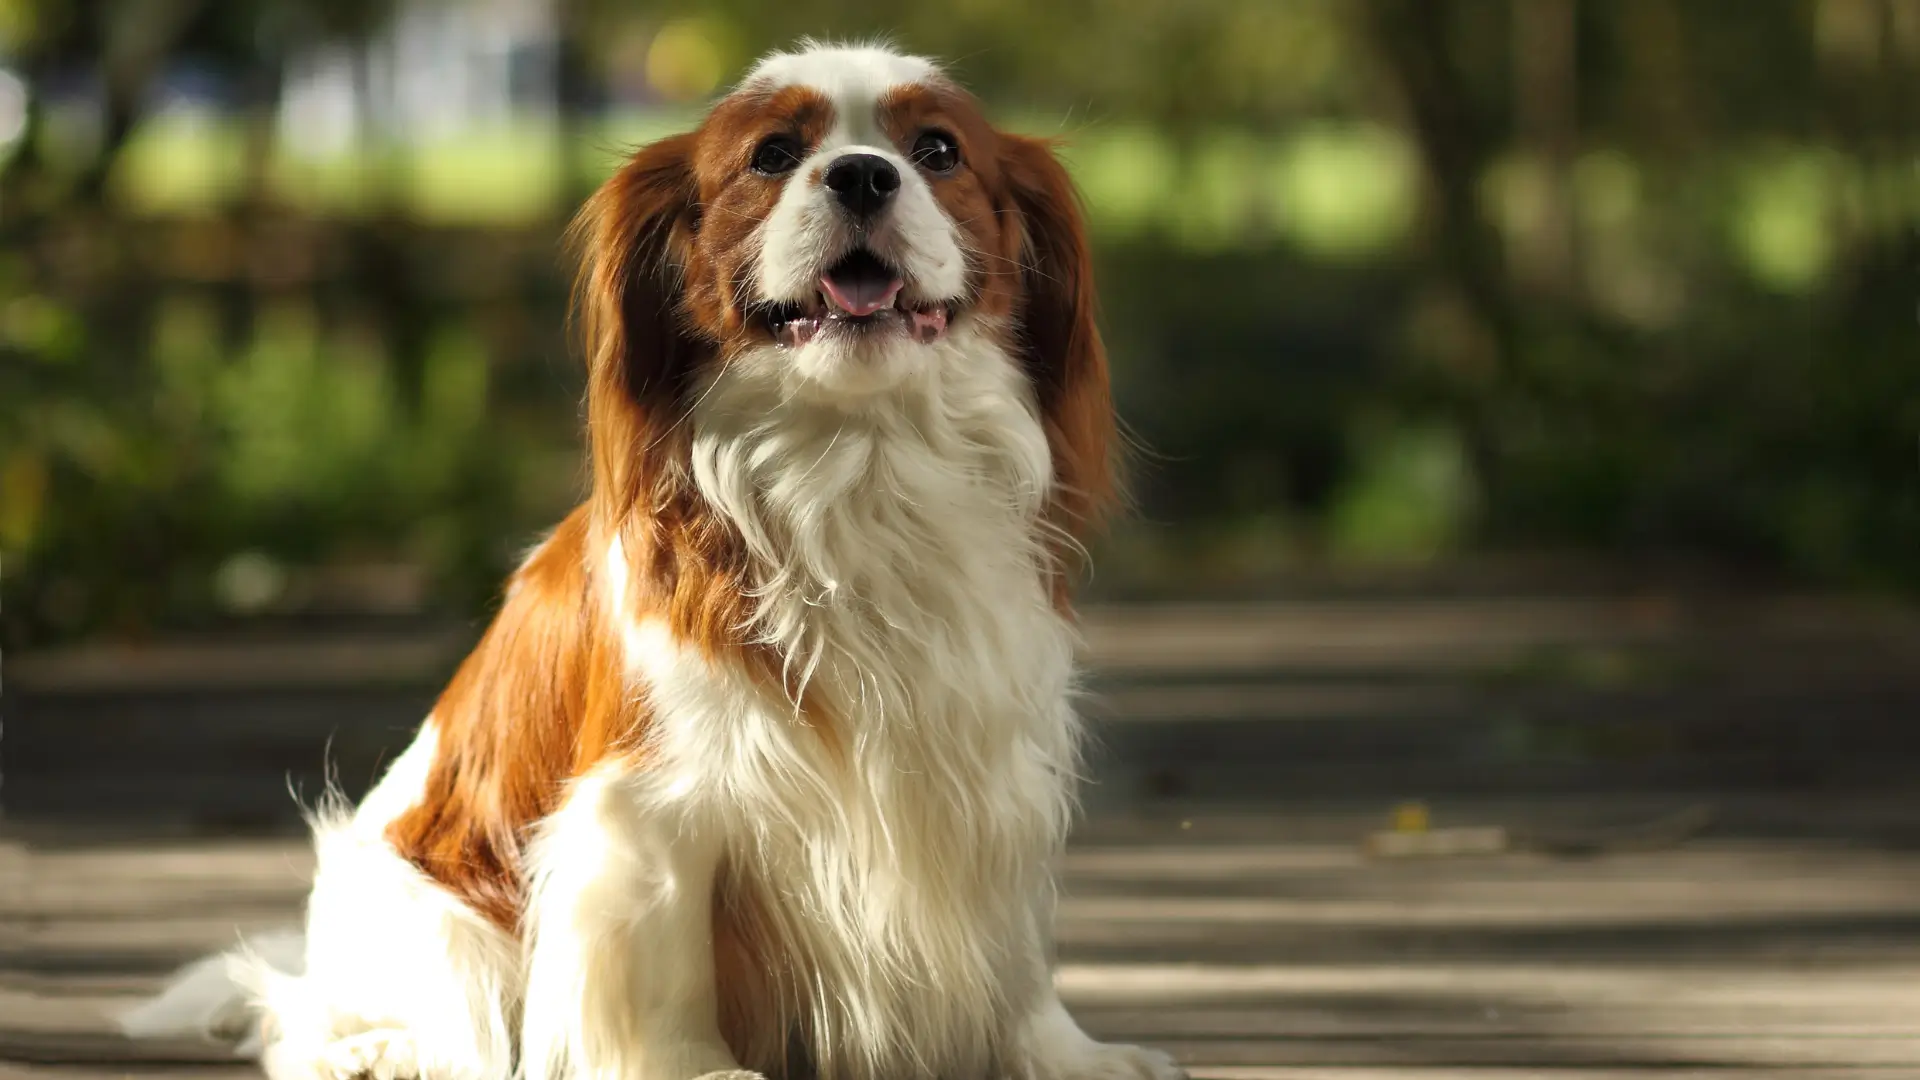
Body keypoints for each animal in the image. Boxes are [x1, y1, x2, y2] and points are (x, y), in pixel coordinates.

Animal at [120, 37, 1175, 1076]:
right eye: (773, 157)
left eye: (939, 152)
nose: (863, 174)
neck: (861, 462)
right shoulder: (646, 808)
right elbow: (663, 963)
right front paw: (699, 1069)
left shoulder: (993, 771)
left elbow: (1017, 948)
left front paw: (1066, 1055)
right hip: (435, 922)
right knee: (302, 1016)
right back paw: (374, 1050)